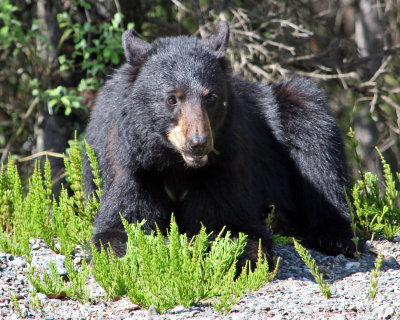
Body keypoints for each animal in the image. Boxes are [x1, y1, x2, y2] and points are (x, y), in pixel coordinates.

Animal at [83, 19, 360, 264]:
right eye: (172, 98)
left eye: (210, 97)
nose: (198, 143)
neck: (175, 164)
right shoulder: (132, 165)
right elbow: (122, 222)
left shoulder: (225, 163)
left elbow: (234, 224)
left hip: (300, 103)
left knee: (319, 154)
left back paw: (331, 236)